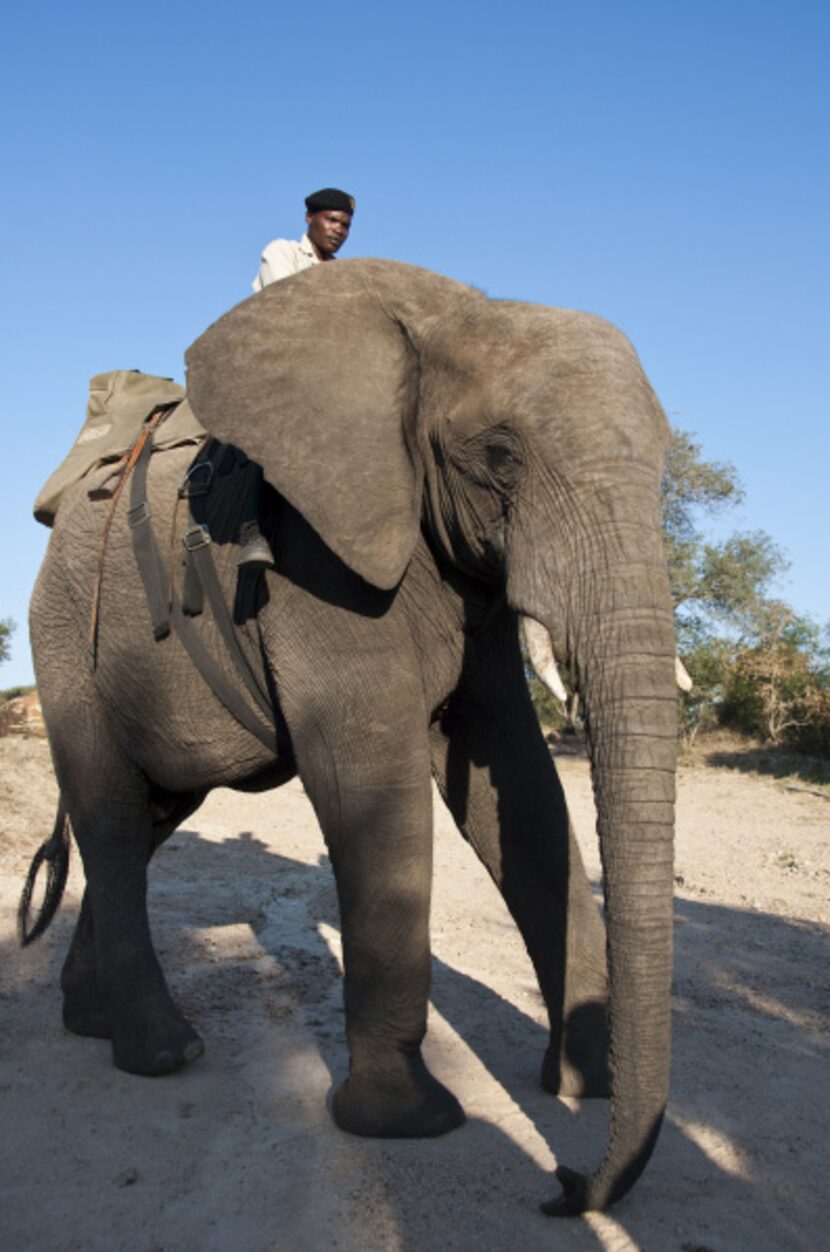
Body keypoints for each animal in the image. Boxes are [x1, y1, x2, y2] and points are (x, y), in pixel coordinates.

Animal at [29, 261, 681, 1211]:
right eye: (501, 456)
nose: (566, 1186)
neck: (448, 317)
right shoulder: (315, 559)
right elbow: (371, 774)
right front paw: (408, 1121)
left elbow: (518, 790)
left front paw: (584, 1081)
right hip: (64, 637)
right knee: (112, 820)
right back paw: (159, 1051)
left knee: (148, 820)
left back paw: (86, 1019)